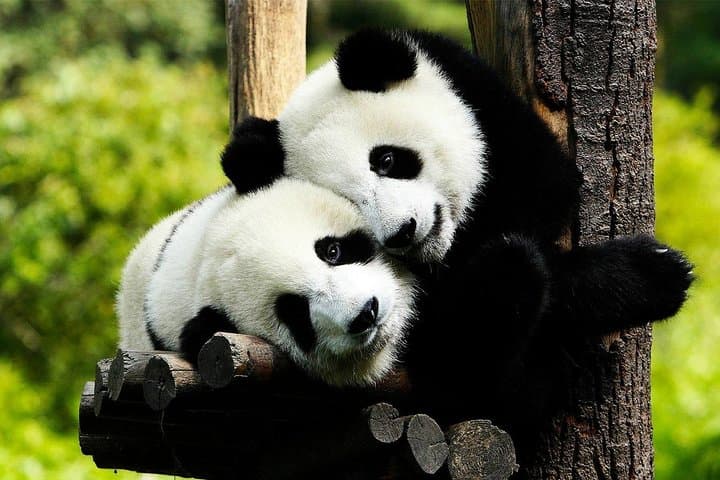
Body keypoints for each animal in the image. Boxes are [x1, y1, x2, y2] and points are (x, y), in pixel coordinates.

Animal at [219, 30, 693, 445]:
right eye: (350, 202)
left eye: (386, 160)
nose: (403, 232)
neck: (448, 245)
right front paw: (653, 274)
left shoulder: (487, 112)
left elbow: (547, 191)